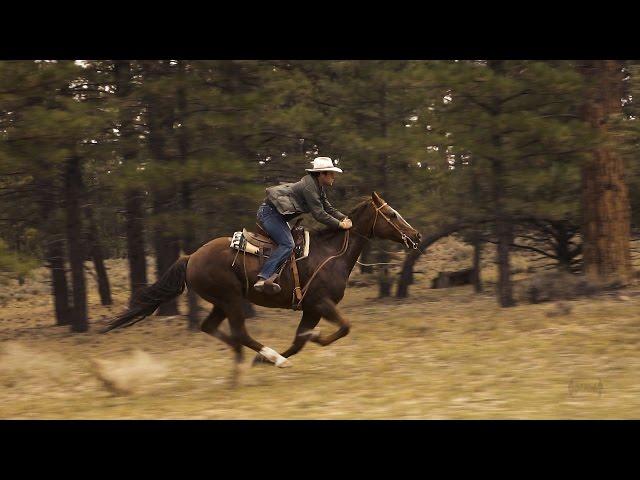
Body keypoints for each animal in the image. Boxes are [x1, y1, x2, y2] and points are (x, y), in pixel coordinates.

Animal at [102, 193, 422, 380]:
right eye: (392, 214)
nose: (416, 235)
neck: (332, 252)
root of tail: (191, 256)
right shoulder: (320, 303)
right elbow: (341, 328)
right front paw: (303, 345)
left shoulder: (310, 308)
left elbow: (299, 340)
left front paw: (264, 361)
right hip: (230, 299)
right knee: (240, 332)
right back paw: (270, 357)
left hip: (221, 302)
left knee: (213, 328)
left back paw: (247, 361)